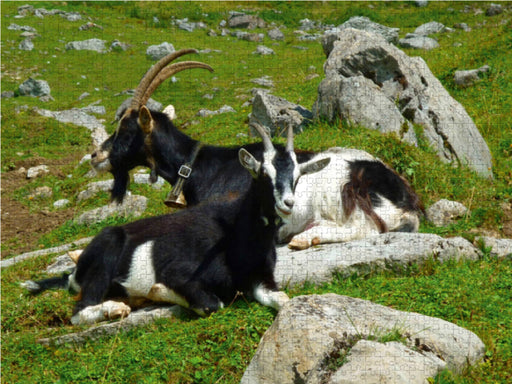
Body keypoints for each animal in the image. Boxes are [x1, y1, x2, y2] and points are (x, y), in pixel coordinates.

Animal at [23, 124, 328, 326]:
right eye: (262, 173)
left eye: (298, 175)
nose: (287, 204)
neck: (235, 231)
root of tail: (75, 271)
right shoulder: (182, 276)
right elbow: (212, 304)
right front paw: (156, 291)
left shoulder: (260, 279)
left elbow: (284, 299)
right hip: (104, 260)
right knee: (78, 312)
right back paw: (116, 308)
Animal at [91, 48, 424, 250]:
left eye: (125, 130)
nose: (95, 156)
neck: (199, 166)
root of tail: (406, 196)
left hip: (344, 191)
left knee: (368, 227)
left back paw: (306, 236)